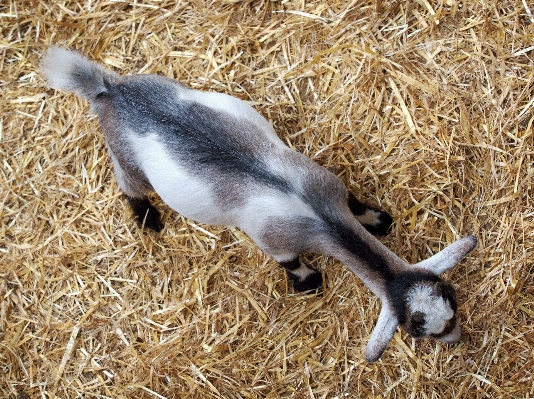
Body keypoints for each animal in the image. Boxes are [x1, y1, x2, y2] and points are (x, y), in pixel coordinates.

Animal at [39, 46, 480, 362]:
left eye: (452, 303)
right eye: (420, 330)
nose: (457, 339)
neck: (319, 217)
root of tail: (110, 91)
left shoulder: (327, 184)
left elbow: (356, 204)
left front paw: (376, 219)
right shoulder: (275, 240)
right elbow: (290, 263)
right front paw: (309, 282)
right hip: (125, 157)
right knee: (127, 182)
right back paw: (147, 217)